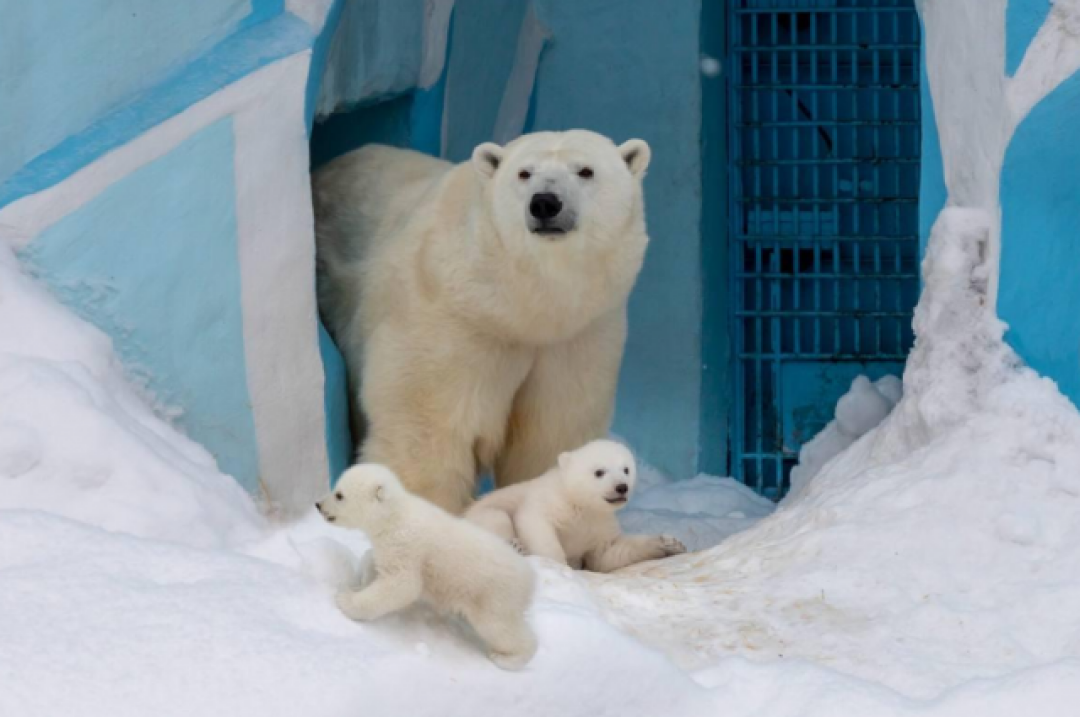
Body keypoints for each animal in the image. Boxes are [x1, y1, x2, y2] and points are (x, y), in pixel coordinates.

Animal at [313, 130, 648, 516]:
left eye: (586, 170)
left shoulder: (578, 336)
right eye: (524, 173)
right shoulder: (450, 319)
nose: (544, 203)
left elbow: (549, 433)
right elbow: (427, 425)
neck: (518, 310)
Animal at [317, 462, 540, 669]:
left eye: (339, 495)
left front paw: (346, 599)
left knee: (500, 627)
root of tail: (530, 578)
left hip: (493, 597)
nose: (318, 504)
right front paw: (363, 579)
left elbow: (403, 584)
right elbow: (378, 562)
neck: (394, 516)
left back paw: (507, 658)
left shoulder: (406, 545)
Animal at [462, 436, 682, 570]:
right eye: (599, 472)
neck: (580, 503)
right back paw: (516, 546)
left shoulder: (599, 526)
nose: (622, 487)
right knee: (496, 518)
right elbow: (535, 523)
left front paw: (669, 543)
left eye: (626, 469)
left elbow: (608, 554)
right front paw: (562, 567)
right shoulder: (550, 501)